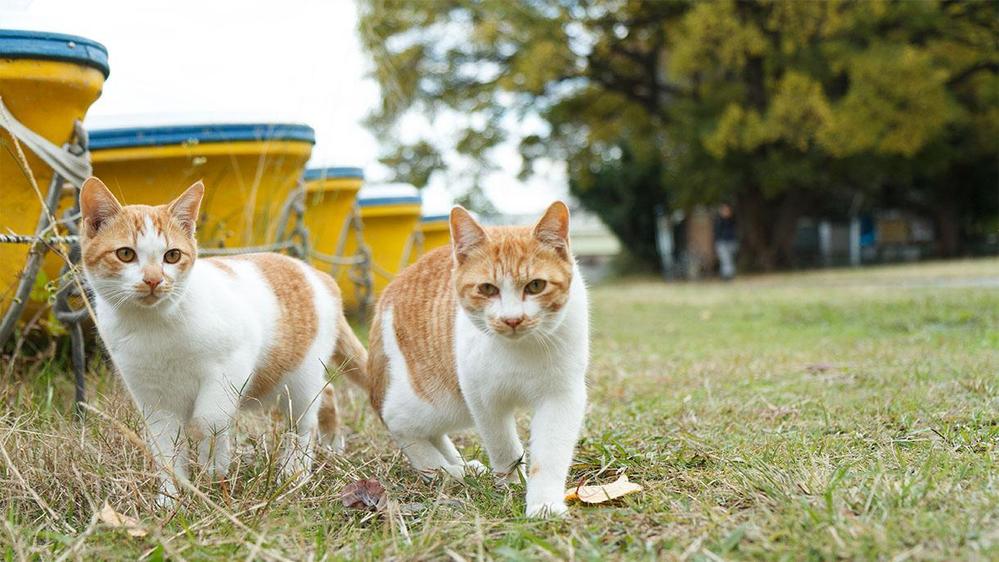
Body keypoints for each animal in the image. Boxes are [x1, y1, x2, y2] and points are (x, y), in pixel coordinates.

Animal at [78, 177, 368, 506]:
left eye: (172, 256)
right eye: (125, 254)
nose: (153, 280)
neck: (154, 326)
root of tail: (317, 274)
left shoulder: (232, 365)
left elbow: (209, 421)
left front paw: (214, 469)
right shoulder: (152, 399)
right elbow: (165, 449)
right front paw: (170, 498)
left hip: (298, 376)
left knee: (305, 421)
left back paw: (295, 472)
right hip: (279, 381)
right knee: (327, 393)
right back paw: (332, 444)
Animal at [366, 201, 584, 516]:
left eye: (535, 286)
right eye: (487, 288)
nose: (512, 319)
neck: (520, 349)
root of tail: (386, 297)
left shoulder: (561, 395)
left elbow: (550, 452)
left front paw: (544, 503)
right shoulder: (482, 398)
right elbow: (503, 446)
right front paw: (511, 482)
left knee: (431, 432)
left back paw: (462, 466)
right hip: (439, 400)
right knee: (397, 421)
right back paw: (448, 471)